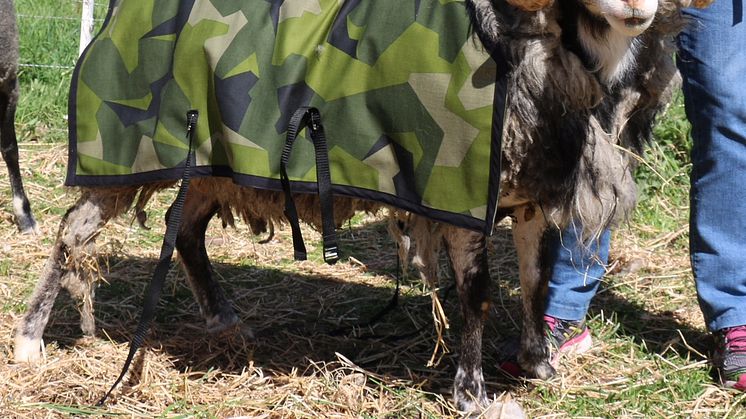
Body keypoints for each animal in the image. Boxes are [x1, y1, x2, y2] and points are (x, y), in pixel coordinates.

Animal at [14, 0, 696, 416]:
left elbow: (533, 283)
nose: (639, 9)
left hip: (213, 160)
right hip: (127, 155)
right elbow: (477, 296)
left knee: (184, 231)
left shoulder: (528, 193)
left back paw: (224, 321)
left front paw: (539, 365)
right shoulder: (458, 195)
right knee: (72, 233)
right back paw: (29, 341)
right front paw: (475, 396)